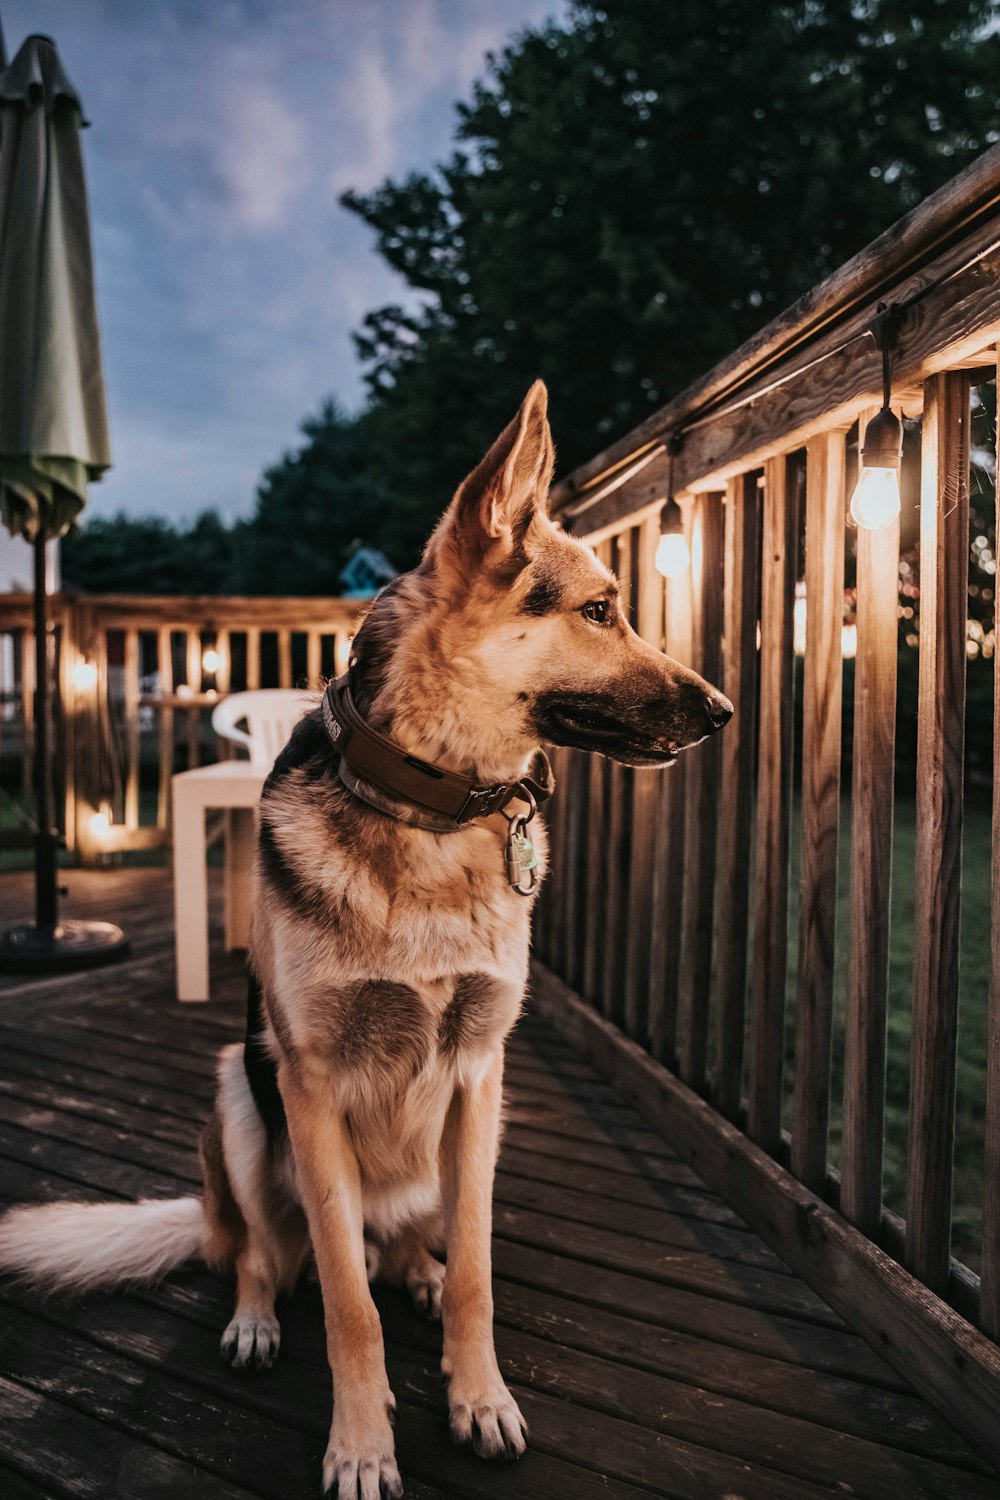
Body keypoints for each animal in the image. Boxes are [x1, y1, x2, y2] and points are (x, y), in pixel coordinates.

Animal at [1, 384, 734, 1500]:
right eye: (599, 610)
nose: (724, 712)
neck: (430, 808)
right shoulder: (305, 1087)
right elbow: (347, 1306)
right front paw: (358, 1444)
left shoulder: (481, 1073)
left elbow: (476, 1273)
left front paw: (478, 1395)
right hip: (239, 1098)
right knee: (265, 1255)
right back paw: (256, 1318)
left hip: (454, 1148)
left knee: (405, 1251)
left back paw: (416, 1272)